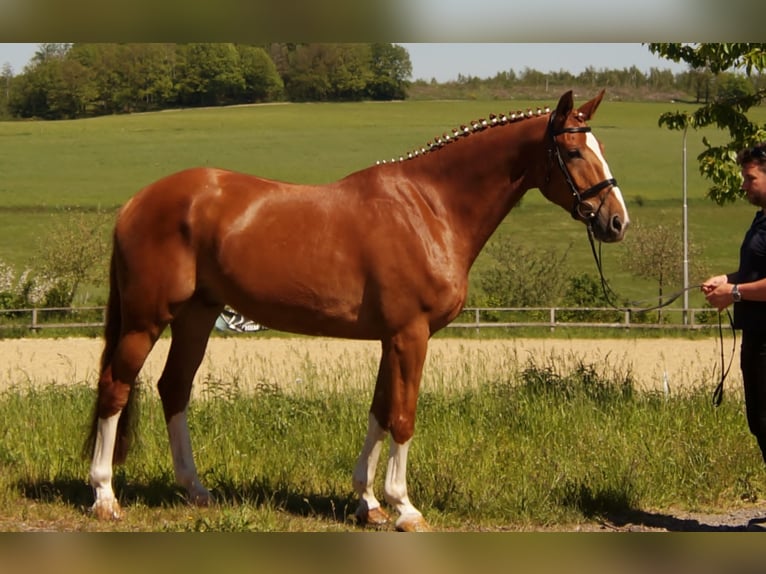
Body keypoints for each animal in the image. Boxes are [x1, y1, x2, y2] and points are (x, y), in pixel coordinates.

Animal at [88, 89, 632, 532]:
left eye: (602, 149)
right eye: (574, 151)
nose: (616, 221)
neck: (429, 208)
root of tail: (137, 202)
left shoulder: (392, 338)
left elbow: (379, 412)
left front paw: (368, 503)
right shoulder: (412, 335)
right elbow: (403, 416)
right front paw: (404, 507)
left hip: (197, 316)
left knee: (173, 388)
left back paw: (195, 490)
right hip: (146, 319)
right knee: (116, 388)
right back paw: (105, 496)